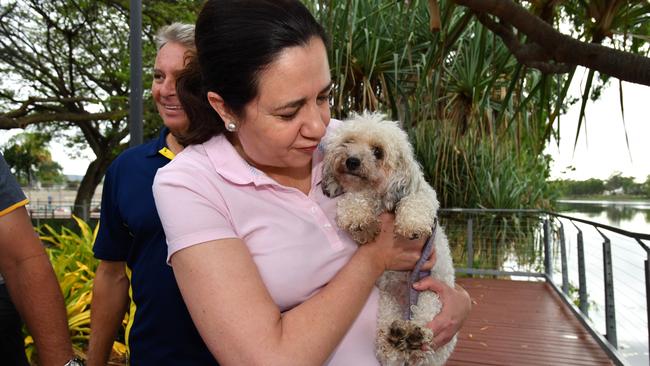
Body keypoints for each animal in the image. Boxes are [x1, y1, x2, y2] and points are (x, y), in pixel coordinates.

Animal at [320, 111, 454, 366]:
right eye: (348, 142)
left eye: (378, 151)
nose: (352, 161)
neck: (380, 198)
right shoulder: (357, 197)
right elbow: (353, 203)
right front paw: (360, 219)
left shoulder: (424, 196)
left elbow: (416, 201)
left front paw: (411, 223)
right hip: (387, 304)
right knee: (389, 346)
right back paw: (396, 339)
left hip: (431, 296)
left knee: (425, 332)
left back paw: (414, 338)